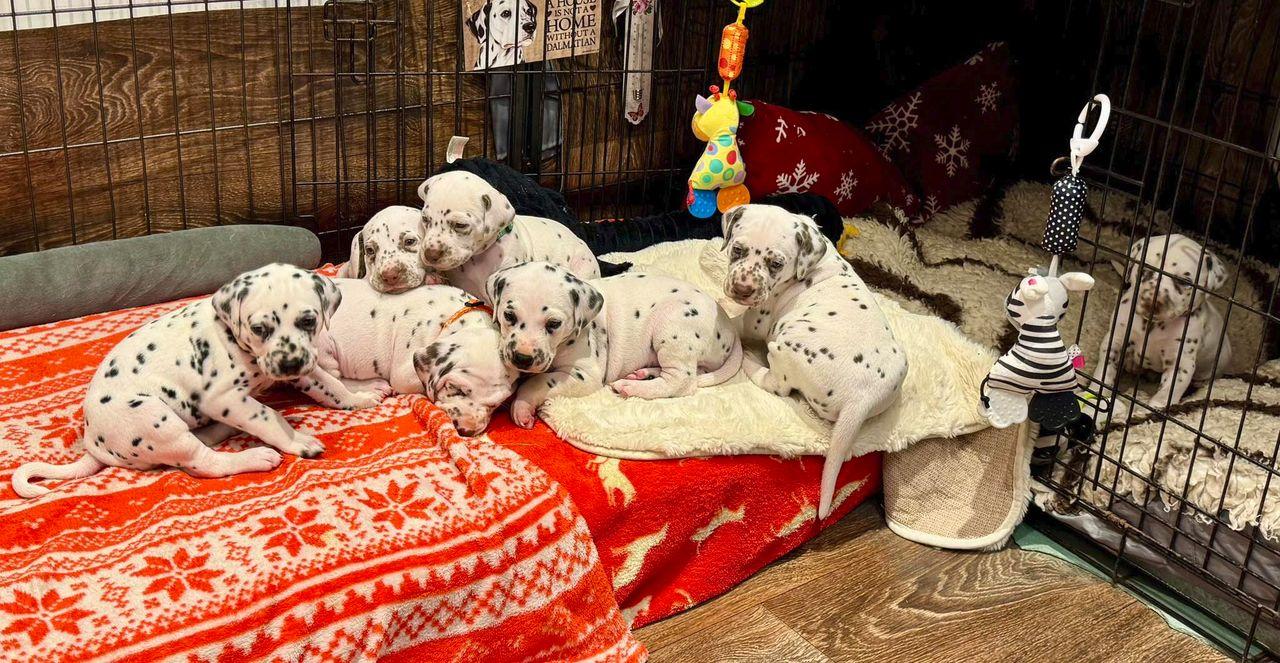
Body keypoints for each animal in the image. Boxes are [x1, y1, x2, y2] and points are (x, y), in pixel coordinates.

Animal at [12, 264, 386, 498]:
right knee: (204, 463)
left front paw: (361, 394)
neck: (231, 335)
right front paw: (297, 441)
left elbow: (329, 385)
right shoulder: (224, 397)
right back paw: (254, 457)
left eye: (308, 320)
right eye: (260, 328)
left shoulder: (301, 368)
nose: (290, 362)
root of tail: (92, 440)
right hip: (154, 417)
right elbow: (268, 416)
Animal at [315, 279, 518, 436]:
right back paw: (371, 386)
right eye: (455, 389)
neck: (449, 317)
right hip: (324, 344)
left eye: (496, 404)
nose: (465, 430)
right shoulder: (404, 375)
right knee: (334, 379)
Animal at [486, 262, 742, 429]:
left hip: (672, 326)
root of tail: (728, 324)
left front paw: (522, 405)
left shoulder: (585, 375)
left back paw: (632, 387)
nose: (522, 358)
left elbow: (538, 381)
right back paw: (642, 375)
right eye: (509, 315)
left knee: (682, 382)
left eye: (554, 323)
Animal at [720, 204, 906, 520]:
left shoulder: (755, 321)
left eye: (776, 264)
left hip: (787, 340)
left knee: (777, 384)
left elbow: (733, 321)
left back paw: (751, 361)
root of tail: (862, 398)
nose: (743, 289)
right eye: (737, 249)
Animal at [1095, 233, 1230, 414]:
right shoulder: (1116, 339)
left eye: (1184, 281)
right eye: (1145, 270)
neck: (1152, 326)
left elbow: (1166, 393)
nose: (1152, 302)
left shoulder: (1180, 363)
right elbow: (1105, 369)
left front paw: (1152, 410)